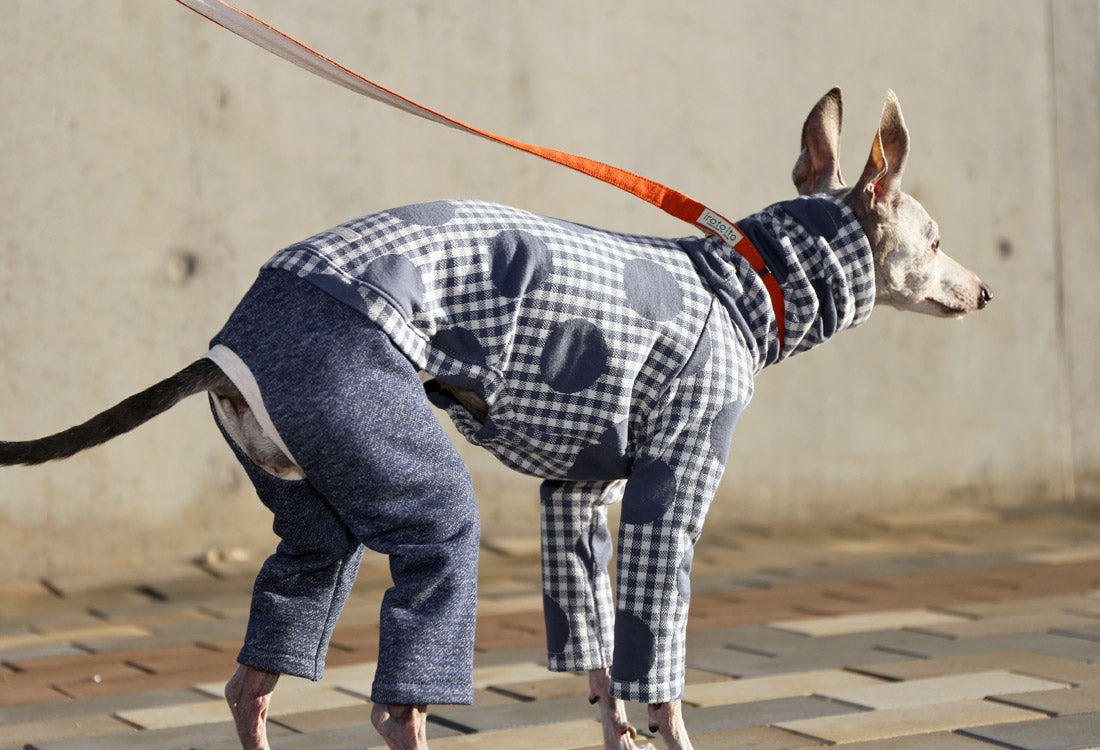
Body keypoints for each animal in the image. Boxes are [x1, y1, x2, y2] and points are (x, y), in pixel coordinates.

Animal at [0, 89, 994, 747]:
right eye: (938, 238)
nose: (985, 292)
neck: (749, 283)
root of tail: (227, 345)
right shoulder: (671, 489)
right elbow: (656, 663)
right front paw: (668, 730)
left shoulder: (577, 497)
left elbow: (599, 669)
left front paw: (617, 733)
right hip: (382, 439)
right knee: (399, 685)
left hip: (315, 498)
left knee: (257, 672)